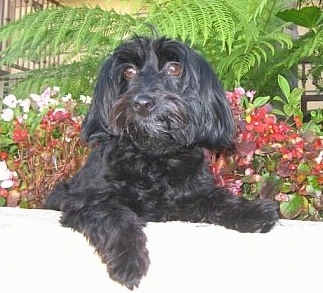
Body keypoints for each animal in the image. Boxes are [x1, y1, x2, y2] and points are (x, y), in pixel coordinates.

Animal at [44, 36, 280, 288]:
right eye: (129, 71)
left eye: (174, 68)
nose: (142, 103)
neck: (153, 156)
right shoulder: (85, 200)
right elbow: (115, 216)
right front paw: (129, 258)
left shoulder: (190, 195)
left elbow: (220, 197)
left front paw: (251, 210)